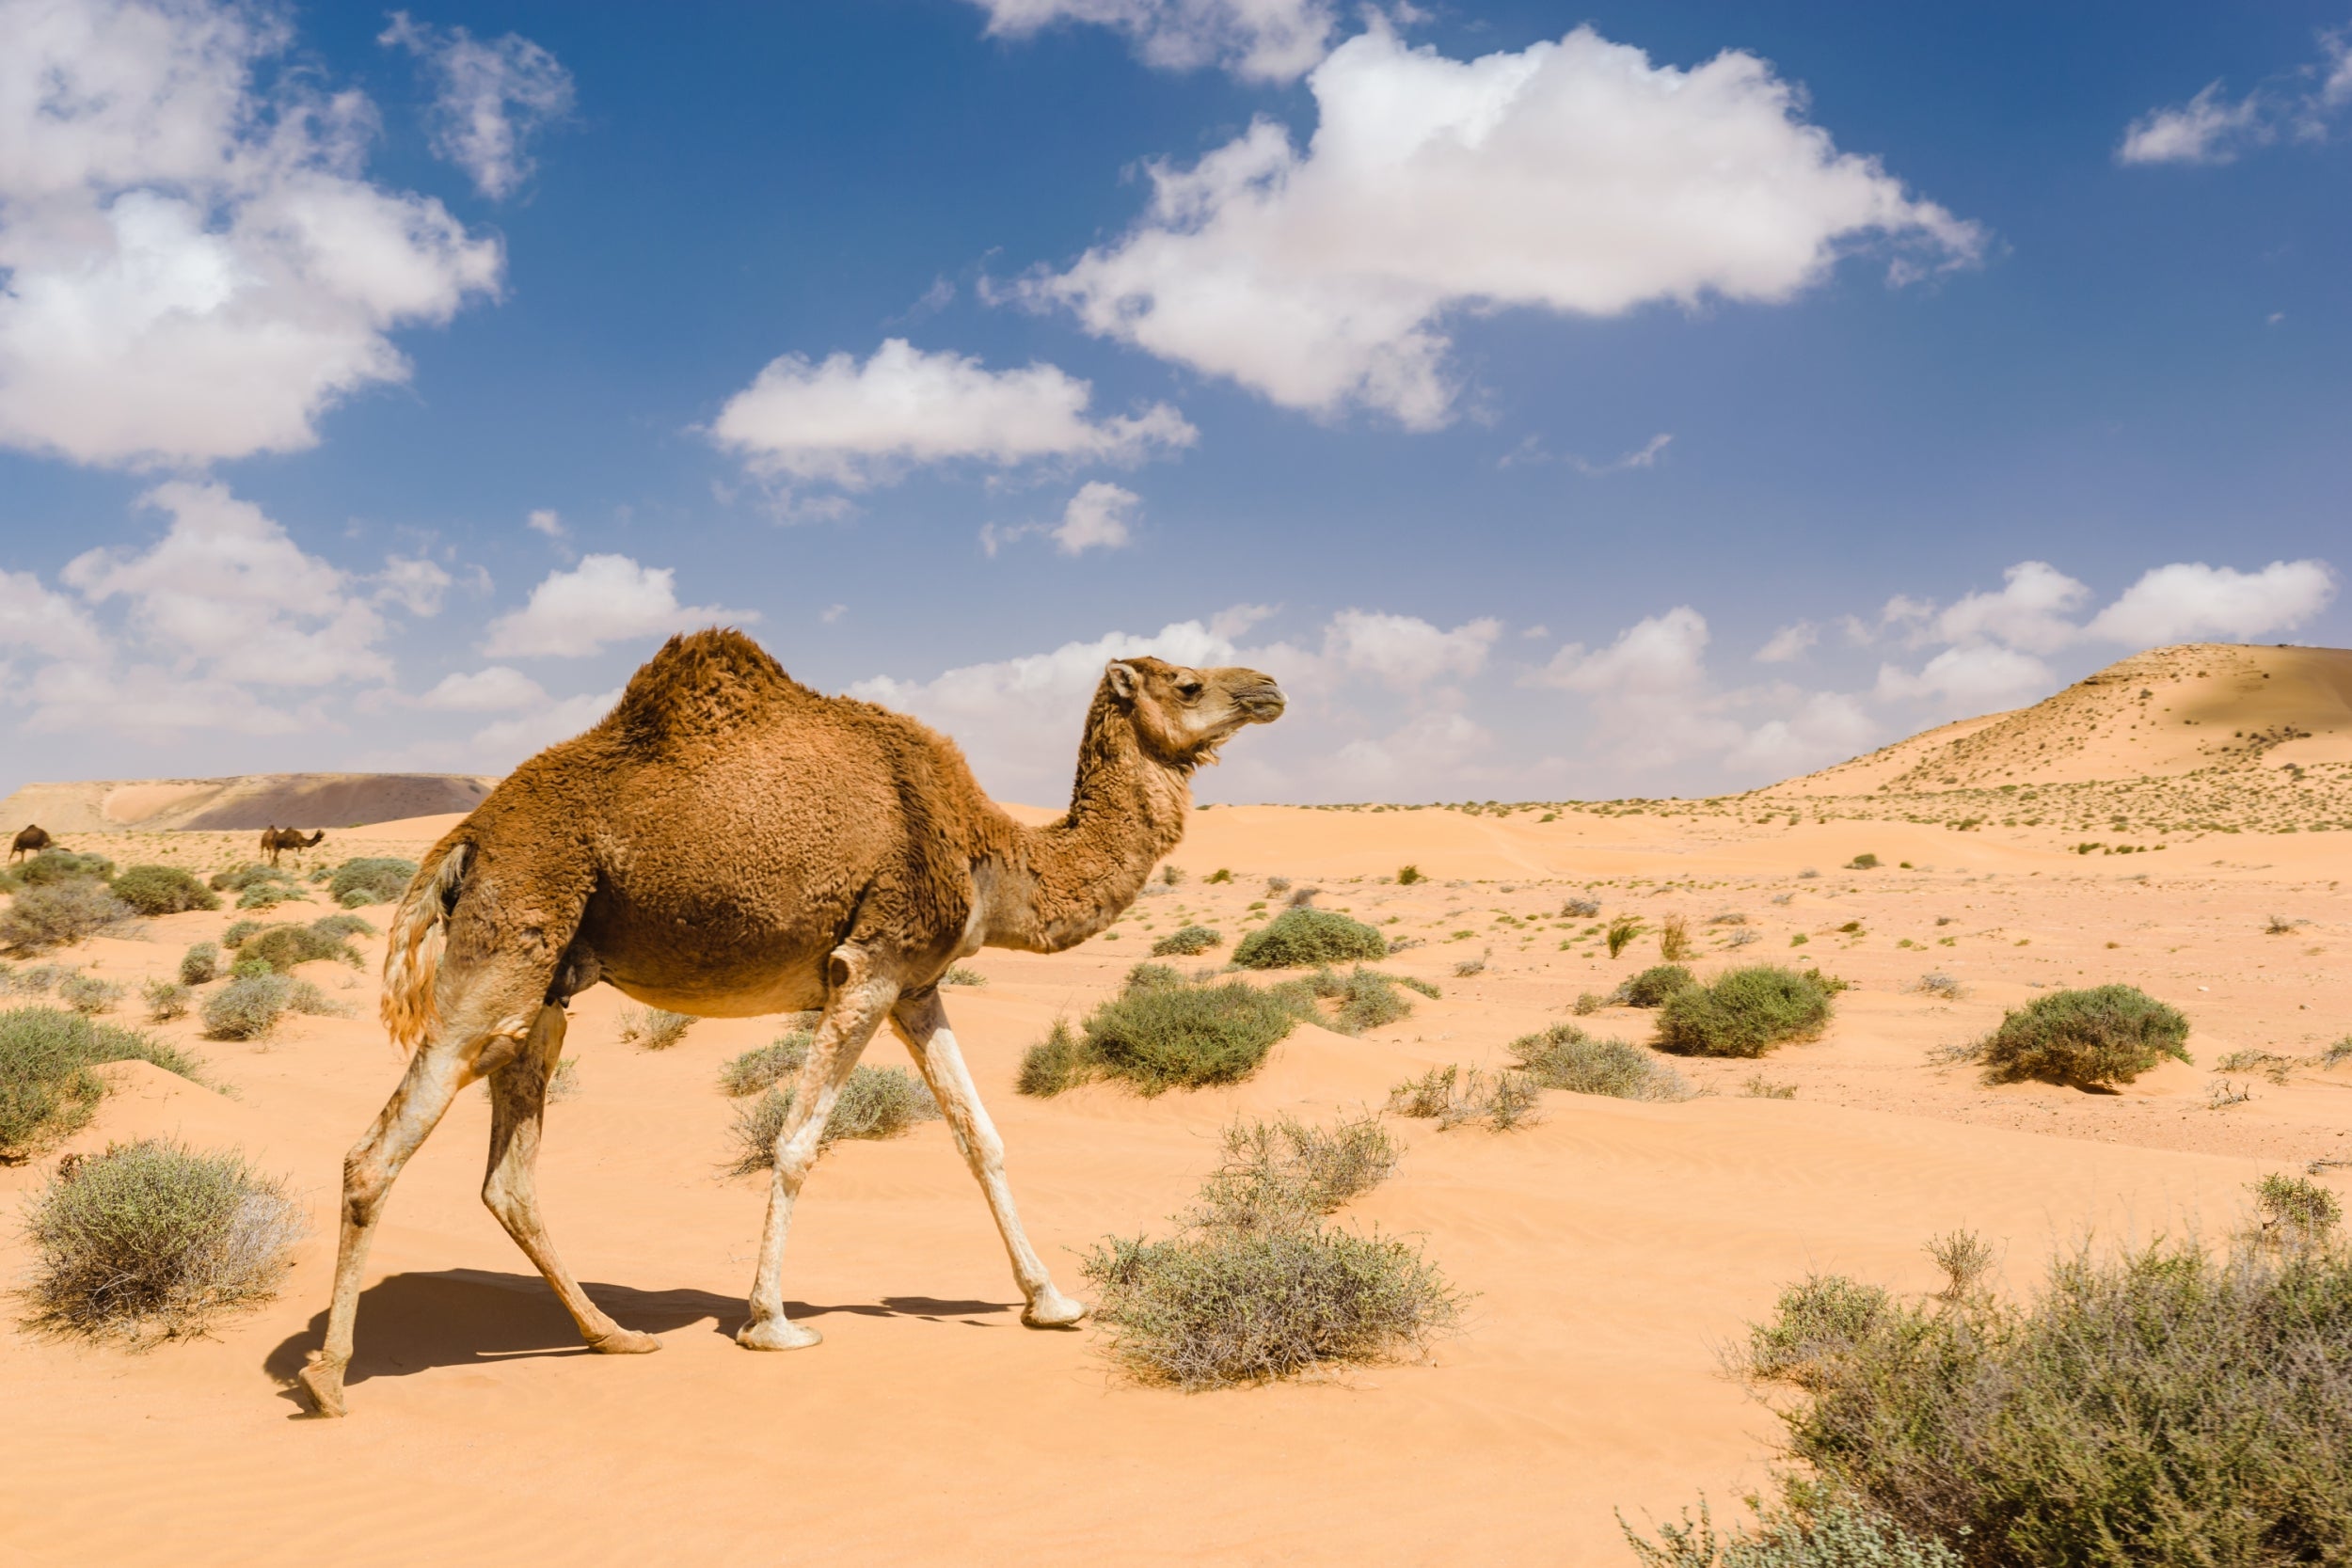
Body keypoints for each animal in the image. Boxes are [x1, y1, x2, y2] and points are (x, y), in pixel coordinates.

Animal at [298, 629, 1289, 1419]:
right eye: (1187, 682)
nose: (1271, 688)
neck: (989, 853)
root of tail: (468, 832)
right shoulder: (868, 963)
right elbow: (798, 1141)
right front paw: (770, 1322)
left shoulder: (918, 986)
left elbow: (981, 1136)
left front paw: (1052, 1301)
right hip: (511, 935)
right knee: (377, 1151)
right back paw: (329, 1380)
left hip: (551, 978)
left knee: (509, 1174)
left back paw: (614, 1335)